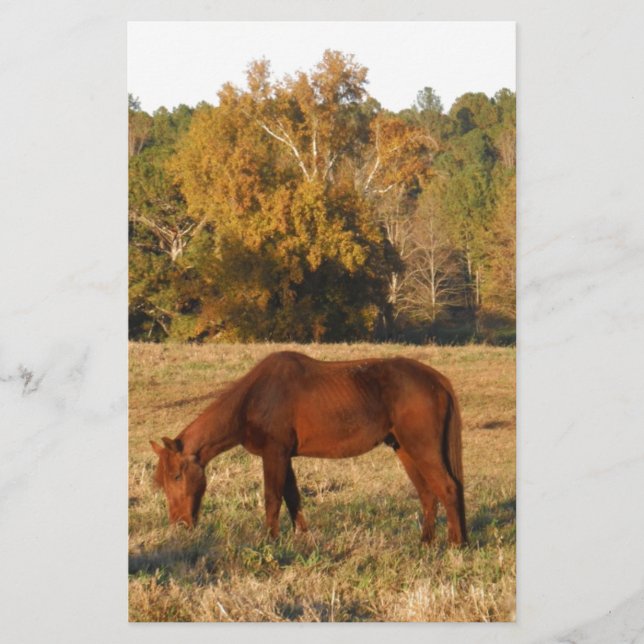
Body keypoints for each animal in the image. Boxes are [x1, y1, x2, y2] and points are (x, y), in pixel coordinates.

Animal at [150, 351, 467, 546]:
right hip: (404, 449)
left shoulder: (274, 454)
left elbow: (272, 498)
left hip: (421, 448)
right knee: (428, 494)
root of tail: (436, 379)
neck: (255, 398)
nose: (179, 525)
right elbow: (293, 497)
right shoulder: (285, 457)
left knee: (447, 488)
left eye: (176, 476)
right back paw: (427, 542)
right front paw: (301, 537)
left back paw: (456, 545)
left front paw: (270, 540)